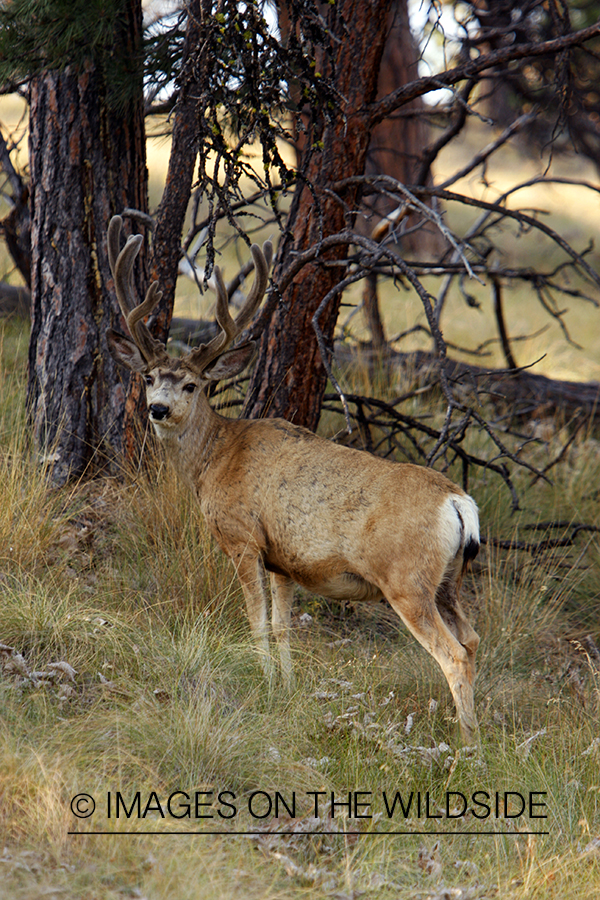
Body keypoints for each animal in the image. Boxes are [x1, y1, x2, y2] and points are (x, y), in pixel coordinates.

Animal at [106, 215, 481, 744]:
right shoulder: (284, 559)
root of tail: (458, 502)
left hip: (407, 579)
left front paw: (262, 682)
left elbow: (257, 621)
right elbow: (284, 626)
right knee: (473, 639)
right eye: (148, 377)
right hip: (449, 579)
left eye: (192, 385)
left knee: (453, 654)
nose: (158, 409)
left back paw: (468, 743)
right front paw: (283, 686)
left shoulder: (242, 537)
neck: (215, 457)